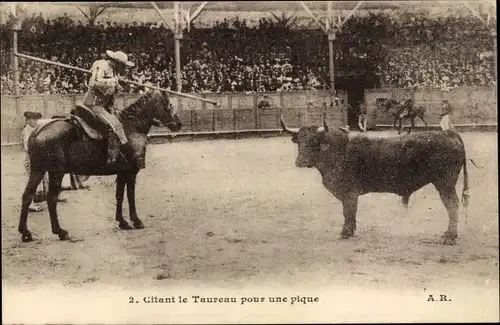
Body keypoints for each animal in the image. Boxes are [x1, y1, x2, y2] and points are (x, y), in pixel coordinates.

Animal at [18, 90, 182, 242]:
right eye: (168, 104)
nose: (179, 124)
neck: (132, 128)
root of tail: (38, 131)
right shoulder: (131, 172)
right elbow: (130, 196)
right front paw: (136, 221)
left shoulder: (122, 173)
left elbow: (119, 196)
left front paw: (122, 222)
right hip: (55, 173)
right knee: (51, 198)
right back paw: (60, 232)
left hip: (38, 170)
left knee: (27, 196)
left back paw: (25, 233)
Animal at [282, 115, 468, 244]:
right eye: (299, 142)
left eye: (314, 141)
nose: (300, 162)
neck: (337, 150)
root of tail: (449, 134)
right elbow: (350, 212)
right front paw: (351, 231)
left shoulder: (349, 193)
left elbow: (348, 212)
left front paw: (345, 232)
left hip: (445, 184)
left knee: (452, 205)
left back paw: (450, 237)